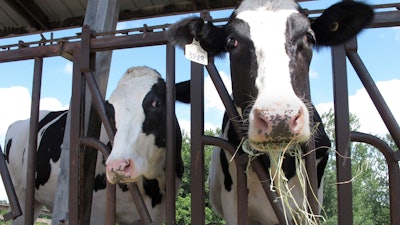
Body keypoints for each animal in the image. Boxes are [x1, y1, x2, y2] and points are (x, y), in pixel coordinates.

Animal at [3, 66, 191, 225]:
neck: (152, 186)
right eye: (109, 112)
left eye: (156, 103)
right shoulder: (97, 211)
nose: (117, 166)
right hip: (21, 196)